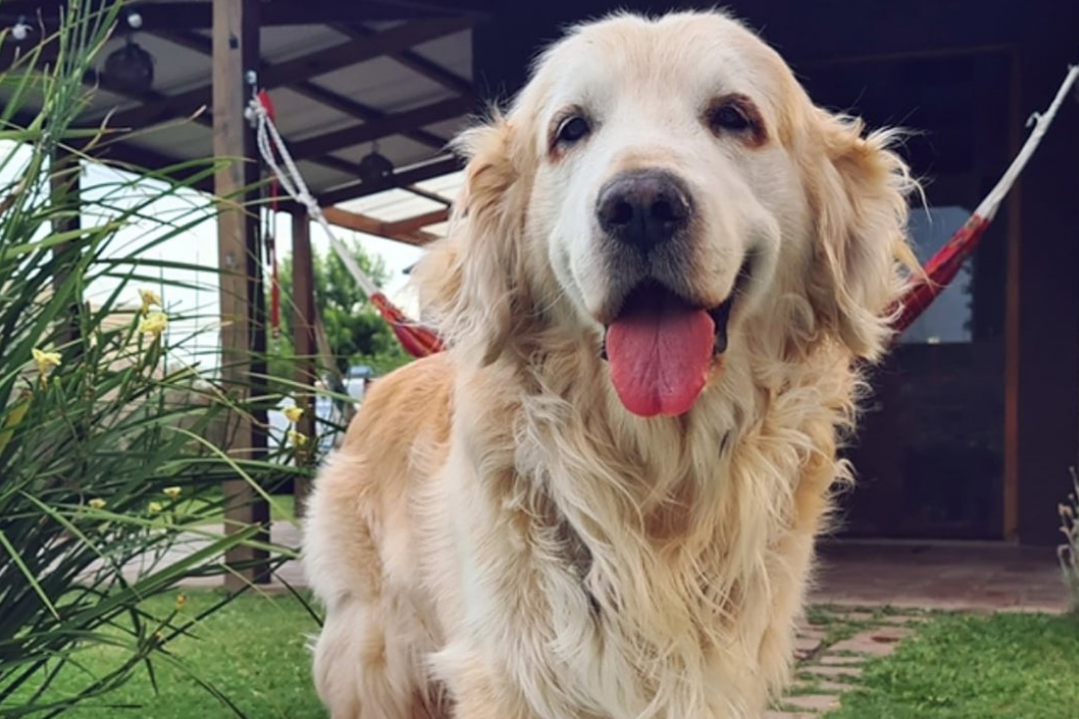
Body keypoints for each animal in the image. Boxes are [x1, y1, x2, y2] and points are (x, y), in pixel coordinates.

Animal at [304, 9, 919, 716]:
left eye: (735, 116)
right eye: (570, 129)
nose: (642, 205)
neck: (659, 478)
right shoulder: (511, 670)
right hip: (376, 656)